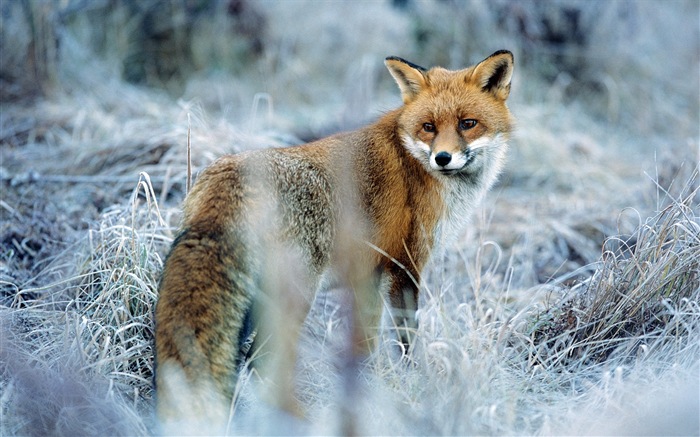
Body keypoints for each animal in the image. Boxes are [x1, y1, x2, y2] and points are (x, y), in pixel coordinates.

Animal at [153, 50, 516, 432]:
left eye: (468, 123)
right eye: (428, 127)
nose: (442, 158)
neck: (414, 164)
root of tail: (226, 177)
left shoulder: (369, 276)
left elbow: (365, 345)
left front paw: (365, 394)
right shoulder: (405, 266)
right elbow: (406, 341)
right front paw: (414, 387)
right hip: (296, 295)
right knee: (262, 359)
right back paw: (300, 421)